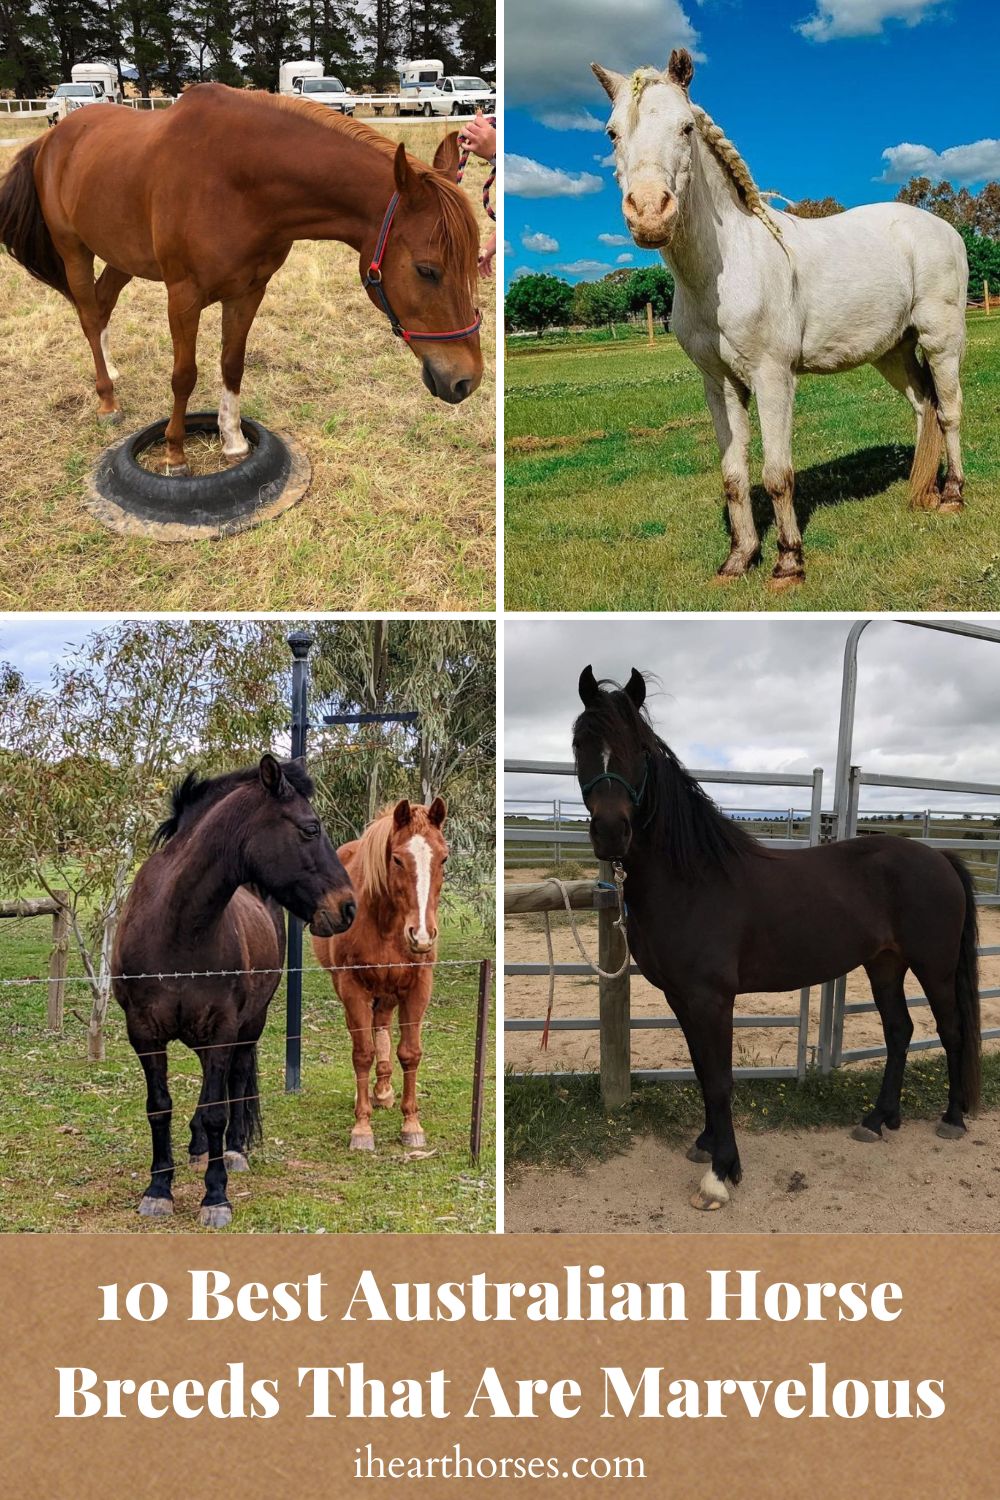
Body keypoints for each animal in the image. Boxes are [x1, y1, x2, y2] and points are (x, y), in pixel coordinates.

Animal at [0, 85, 482, 474]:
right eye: (427, 270)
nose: (467, 381)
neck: (237, 177)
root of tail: (50, 138)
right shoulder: (183, 295)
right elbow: (184, 374)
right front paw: (175, 453)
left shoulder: (249, 290)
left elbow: (232, 363)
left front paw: (232, 441)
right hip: (74, 250)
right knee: (86, 312)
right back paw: (107, 399)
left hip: (124, 255)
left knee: (100, 308)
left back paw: (113, 370)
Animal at [113, 755, 356, 1228]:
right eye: (310, 828)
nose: (348, 907)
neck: (176, 928)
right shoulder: (144, 1033)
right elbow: (159, 1106)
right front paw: (158, 1189)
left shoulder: (223, 1028)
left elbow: (216, 1111)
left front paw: (216, 1196)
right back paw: (196, 1150)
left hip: (249, 1025)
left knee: (238, 1080)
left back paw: (234, 1150)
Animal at [313, 797, 448, 1152]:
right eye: (397, 859)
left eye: (443, 857)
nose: (422, 936)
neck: (385, 923)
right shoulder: (353, 986)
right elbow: (362, 1054)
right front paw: (362, 1128)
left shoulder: (418, 986)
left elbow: (410, 1053)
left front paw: (411, 1124)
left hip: (387, 991)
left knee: (383, 1026)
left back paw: (384, 1089)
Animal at [573, 667, 981, 1213]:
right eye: (580, 743)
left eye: (639, 747)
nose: (612, 833)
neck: (692, 878)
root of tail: (940, 859)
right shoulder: (682, 998)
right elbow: (702, 1070)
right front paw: (707, 1145)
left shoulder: (711, 998)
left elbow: (719, 1079)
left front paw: (722, 1173)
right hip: (885, 964)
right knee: (899, 1031)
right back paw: (878, 1120)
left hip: (933, 966)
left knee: (951, 1030)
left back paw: (951, 1119)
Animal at [592, 49, 968, 587]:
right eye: (612, 132)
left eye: (686, 127)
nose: (649, 214)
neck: (727, 268)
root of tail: (943, 228)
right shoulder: (721, 384)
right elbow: (734, 476)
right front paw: (738, 558)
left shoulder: (773, 378)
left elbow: (776, 475)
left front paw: (788, 562)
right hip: (893, 352)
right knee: (924, 407)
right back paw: (924, 493)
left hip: (942, 341)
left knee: (950, 410)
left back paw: (953, 494)